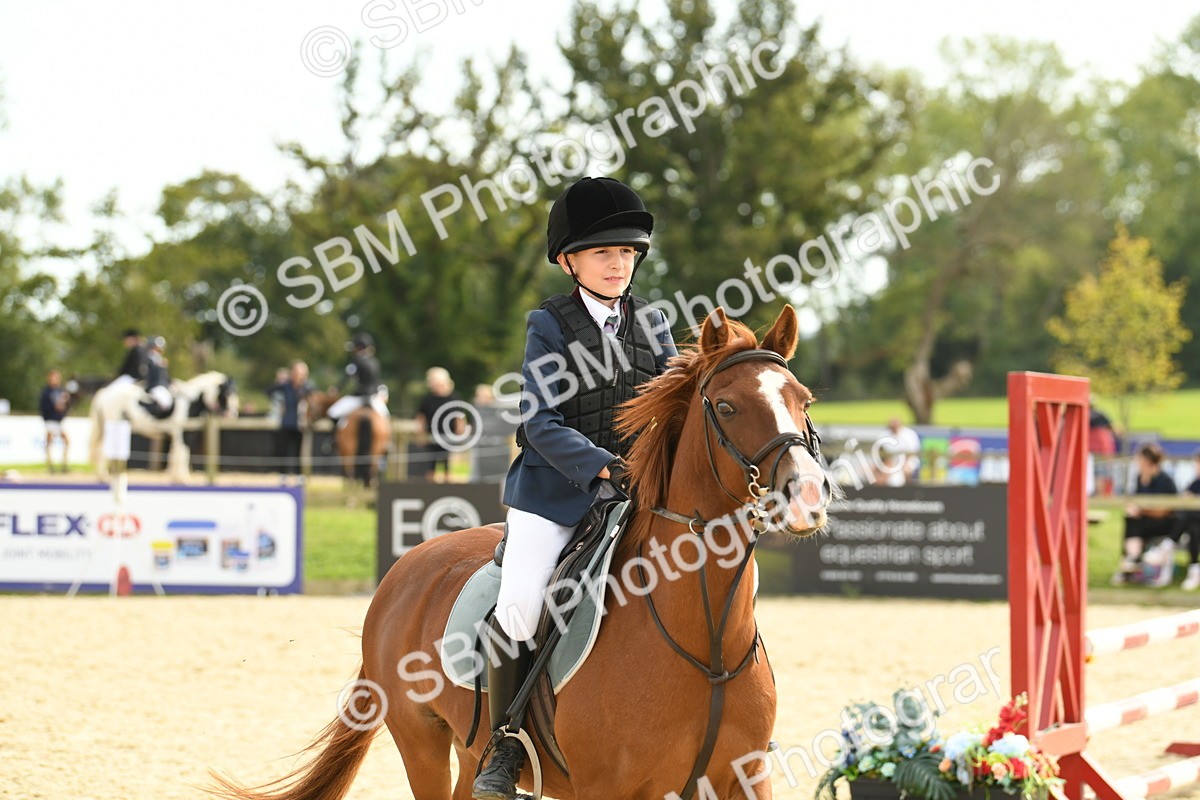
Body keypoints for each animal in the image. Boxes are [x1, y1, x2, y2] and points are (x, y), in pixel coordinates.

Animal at [89, 371, 239, 483]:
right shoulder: (182, 434)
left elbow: (176, 455)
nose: (232, 414)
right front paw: (183, 479)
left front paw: (176, 478)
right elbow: (182, 454)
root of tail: (105, 392)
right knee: (104, 451)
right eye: (226, 393)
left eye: (235, 393)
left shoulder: (181, 435)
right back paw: (104, 477)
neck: (191, 402)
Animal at [210, 305, 833, 800]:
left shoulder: (744, 778)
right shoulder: (609, 788)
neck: (703, 635)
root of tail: (406, 566)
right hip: (421, 742)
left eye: (803, 399)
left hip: (468, 750)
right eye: (726, 408)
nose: (807, 495)